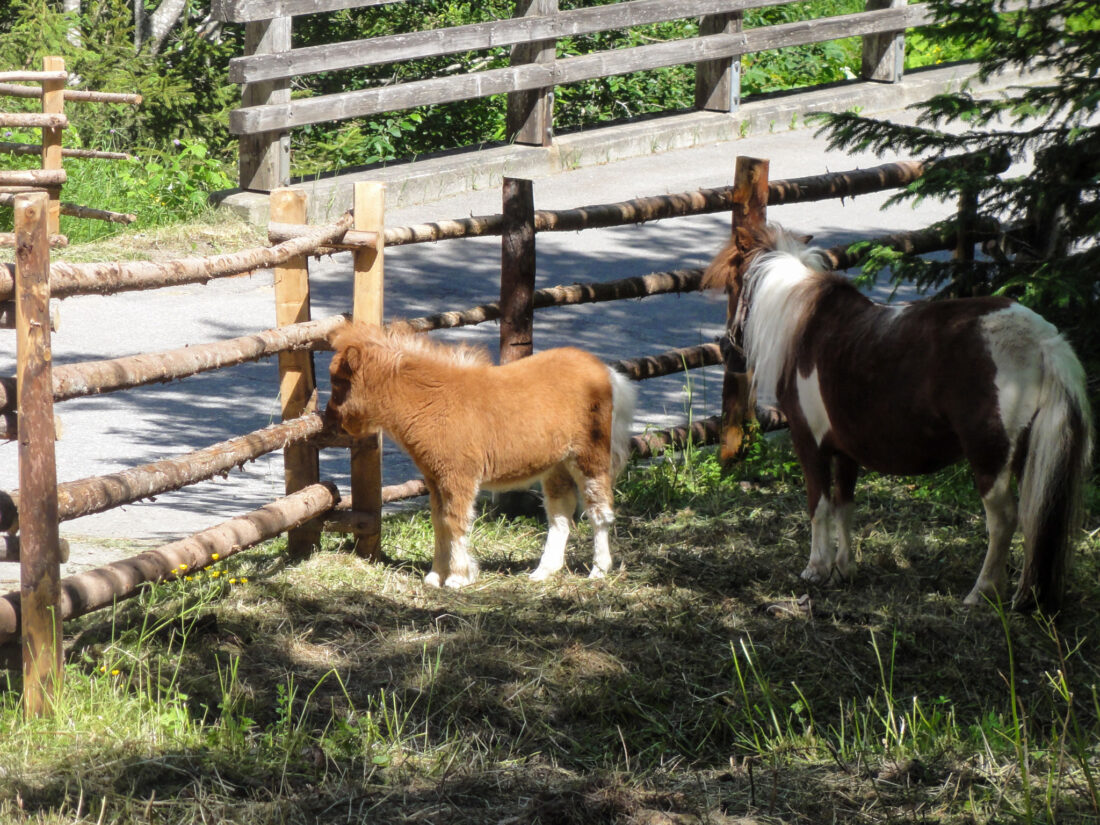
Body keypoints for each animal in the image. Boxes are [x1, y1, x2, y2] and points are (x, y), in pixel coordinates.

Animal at [323, 321, 638, 589]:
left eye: (338, 380)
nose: (331, 421)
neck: (434, 401)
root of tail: (606, 372)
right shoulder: (435, 479)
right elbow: (439, 522)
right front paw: (434, 576)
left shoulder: (459, 476)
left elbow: (455, 521)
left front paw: (457, 578)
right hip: (556, 465)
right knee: (560, 512)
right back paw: (543, 572)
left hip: (589, 457)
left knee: (599, 509)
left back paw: (598, 570)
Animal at [704, 226, 1091, 616]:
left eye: (735, 284)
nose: (727, 350)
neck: (804, 326)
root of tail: (1043, 341)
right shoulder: (845, 451)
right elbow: (844, 507)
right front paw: (843, 569)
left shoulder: (809, 444)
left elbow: (819, 506)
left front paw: (816, 569)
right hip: (1027, 456)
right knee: (1033, 516)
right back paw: (1021, 594)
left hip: (990, 458)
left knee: (1003, 520)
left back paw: (981, 592)